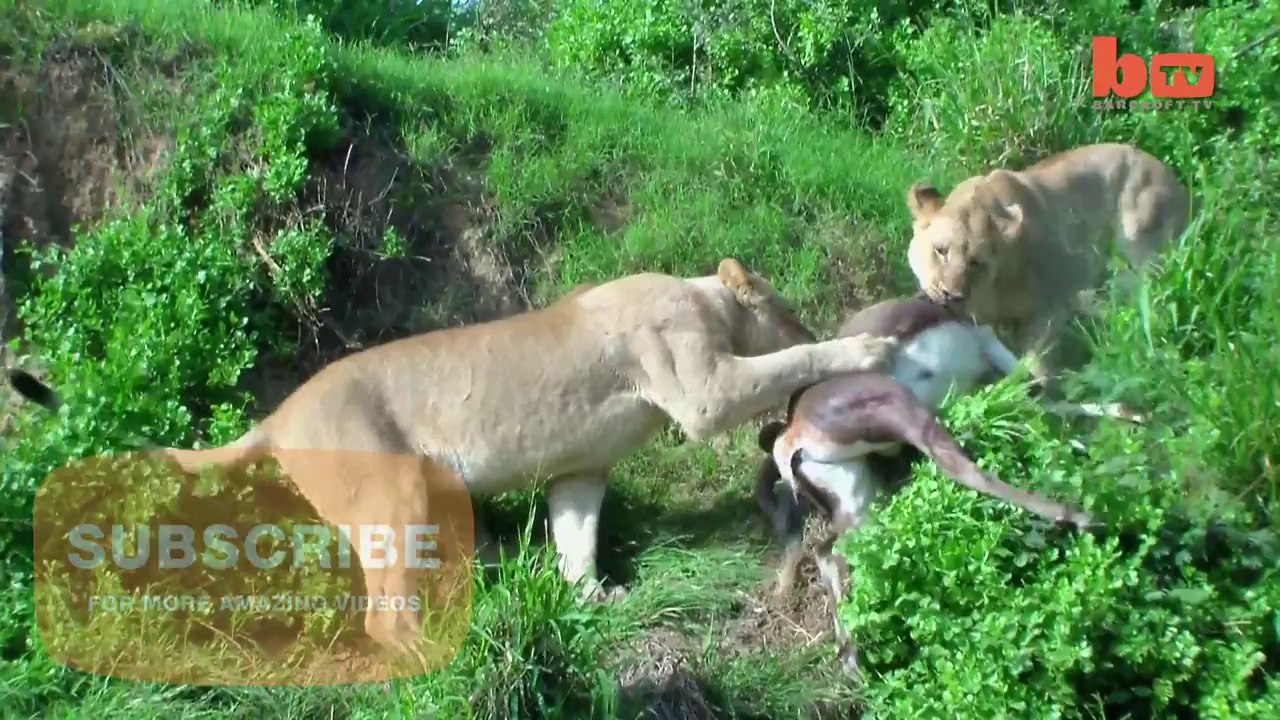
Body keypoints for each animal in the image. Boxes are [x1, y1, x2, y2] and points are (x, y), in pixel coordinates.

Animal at [7, 258, 896, 660]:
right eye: (789, 306)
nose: (811, 313)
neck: (702, 297)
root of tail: (279, 413)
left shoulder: (581, 470)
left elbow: (575, 534)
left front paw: (594, 598)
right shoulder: (699, 388)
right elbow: (781, 363)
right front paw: (863, 347)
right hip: (395, 487)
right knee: (381, 613)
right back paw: (439, 649)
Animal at [904, 142, 1191, 390]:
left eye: (976, 263)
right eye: (941, 251)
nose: (951, 295)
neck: (993, 292)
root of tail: (1179, 185)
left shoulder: (1050, 306)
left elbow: (1038, 359)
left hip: (1141, 236)